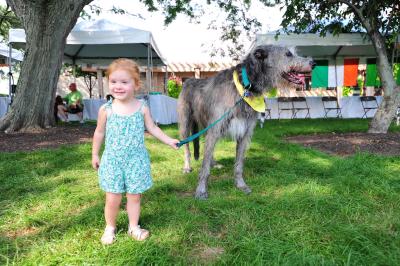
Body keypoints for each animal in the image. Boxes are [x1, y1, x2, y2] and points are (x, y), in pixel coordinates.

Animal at [178, 45, 316, 200]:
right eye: (288, 54)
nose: (313, 63)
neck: (245, 86)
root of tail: (188, 80)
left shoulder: (244, 133)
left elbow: (239, 165)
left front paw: (240, 185)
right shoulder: (215, 129)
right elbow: (204, 166)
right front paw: (201, 190)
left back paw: (214, 163)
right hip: (186, 124)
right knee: (187, 147)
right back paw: (187, 167)